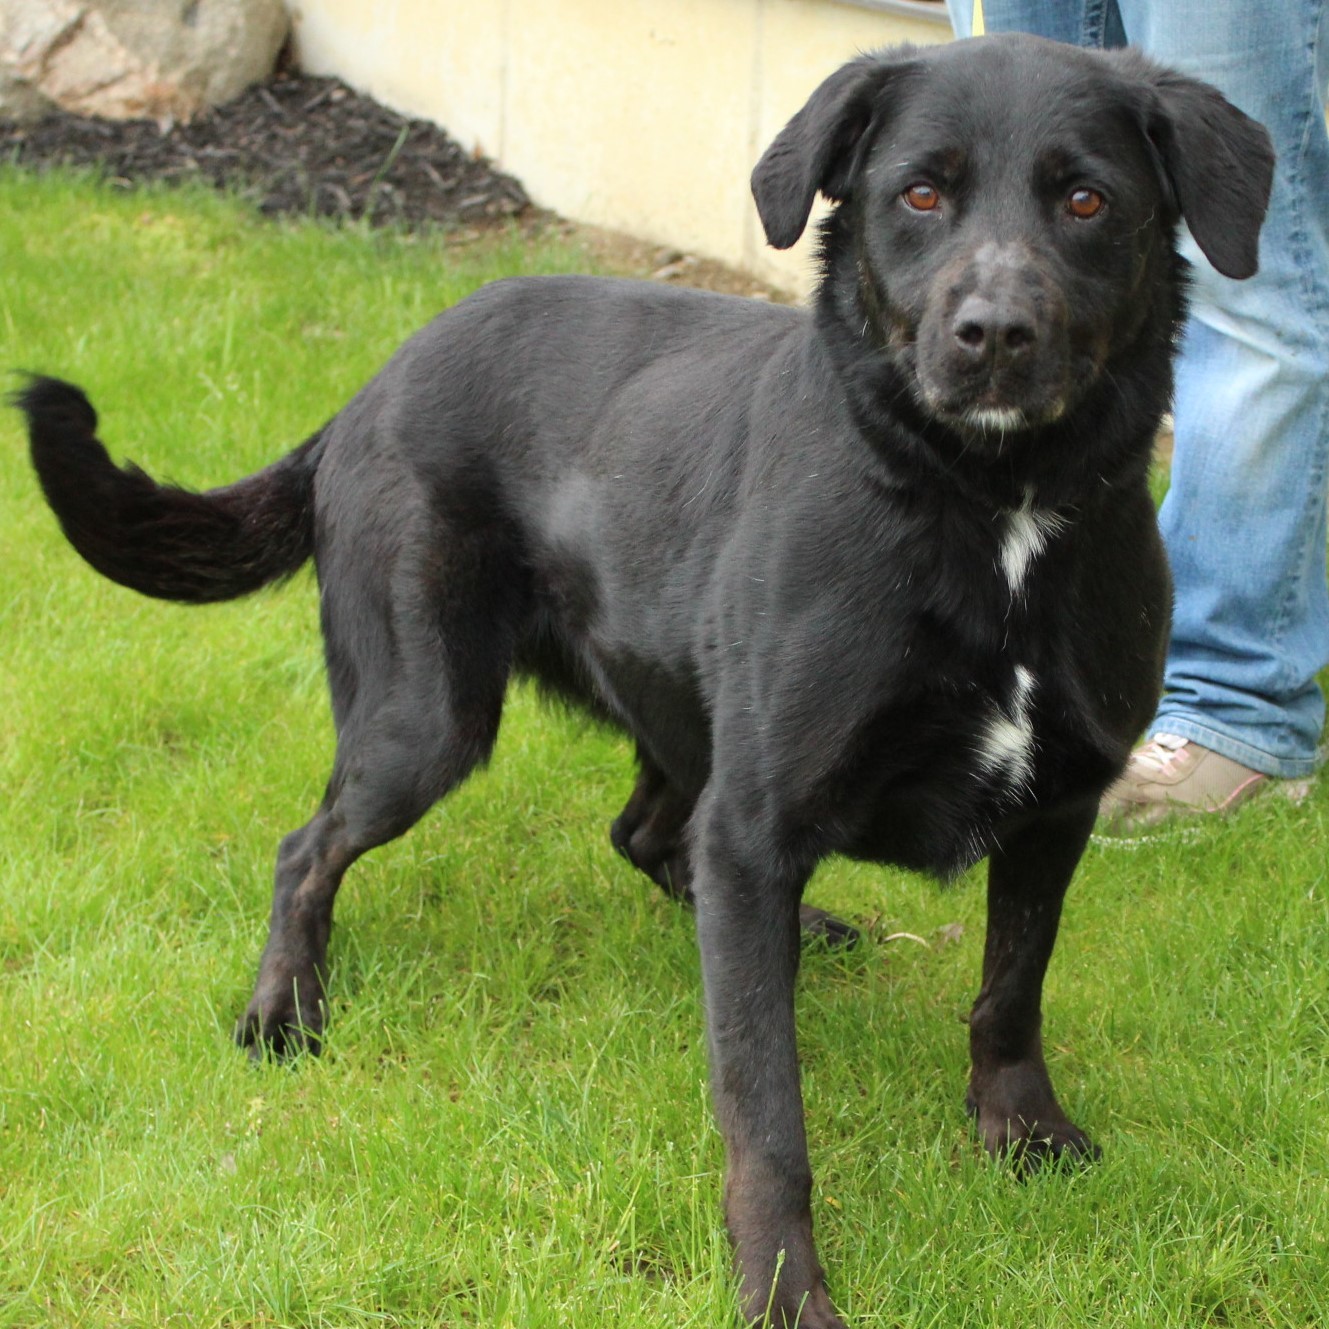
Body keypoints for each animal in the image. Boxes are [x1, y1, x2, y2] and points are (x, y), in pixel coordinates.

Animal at [18, 33, 1265, 1329]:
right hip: (429, 721)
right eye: (920, 194)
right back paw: (284, 1010)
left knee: (647, 837)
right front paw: (782, 1287)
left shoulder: (1053, 809)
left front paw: (1020, 1133)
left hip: (679, 719)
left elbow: (1009, 992)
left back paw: (789, 926)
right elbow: (766, 1110)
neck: (989, 510)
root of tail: (368, 387)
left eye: (1088, 201)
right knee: (307, 848)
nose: (997, 332)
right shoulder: (761, 818)